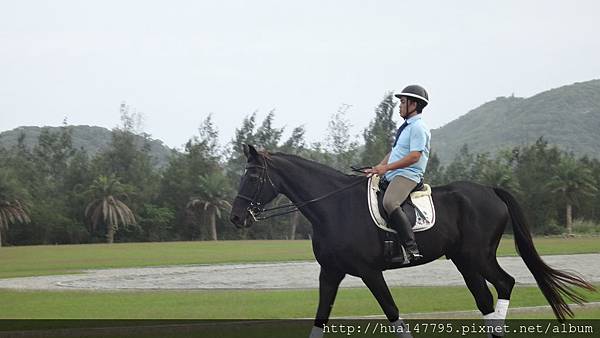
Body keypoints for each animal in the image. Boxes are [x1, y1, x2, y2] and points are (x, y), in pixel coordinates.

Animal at [231, 145, 596, 338]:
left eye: (253, 175)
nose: (236, 217)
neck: (334, 207)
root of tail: (491, 190)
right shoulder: (331, 273)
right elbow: (320, 319)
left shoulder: (369, 272)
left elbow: (392, 313)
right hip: (464, 260)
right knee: (484, 299)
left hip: (477, 256)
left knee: (505, 284)